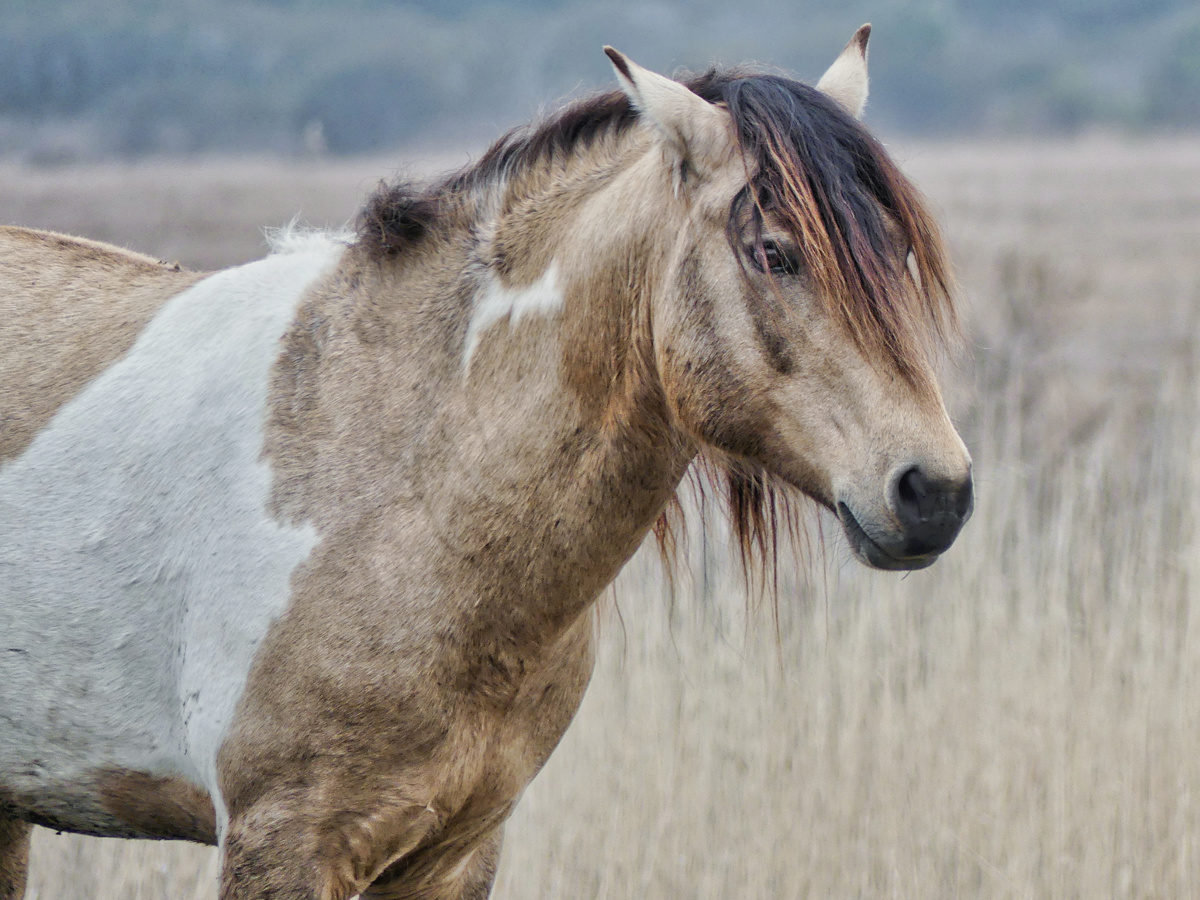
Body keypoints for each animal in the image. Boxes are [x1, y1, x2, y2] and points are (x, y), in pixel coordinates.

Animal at [0, 28, 969, 900]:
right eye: (773, 252)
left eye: (900, 250)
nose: (936, 493)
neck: (401, 487)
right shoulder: (284, 842)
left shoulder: (455, 853)